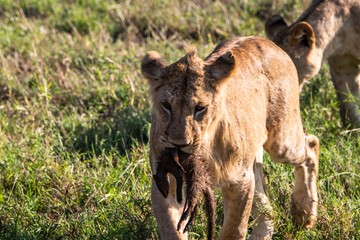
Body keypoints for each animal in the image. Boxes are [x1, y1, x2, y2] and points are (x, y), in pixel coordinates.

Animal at [142, 36, 320, 239]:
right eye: (166, 105)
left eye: (200, 108)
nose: (179, 144)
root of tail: (264, 40)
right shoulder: (165, 184)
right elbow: (171, 229)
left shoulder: (240, 180)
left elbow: (234, 229)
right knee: (265, 202)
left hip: (282, 142)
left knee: (311, 144)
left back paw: (304, 215)